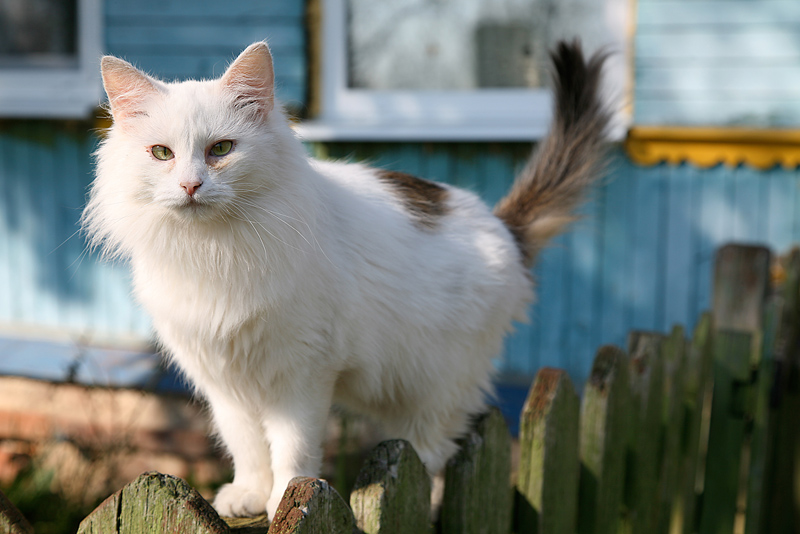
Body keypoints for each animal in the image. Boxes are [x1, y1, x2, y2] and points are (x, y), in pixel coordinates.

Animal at [83, 38, 608, 520]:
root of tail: (503, 228)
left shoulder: (303, 373)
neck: (212, 251)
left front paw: (284, 500)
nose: (191, 186)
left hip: (437, 387)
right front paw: (249, 495)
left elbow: (292, 448)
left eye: (221, 150)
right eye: (161, 153)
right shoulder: (223, 379)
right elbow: (246, 446)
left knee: (433, 453)